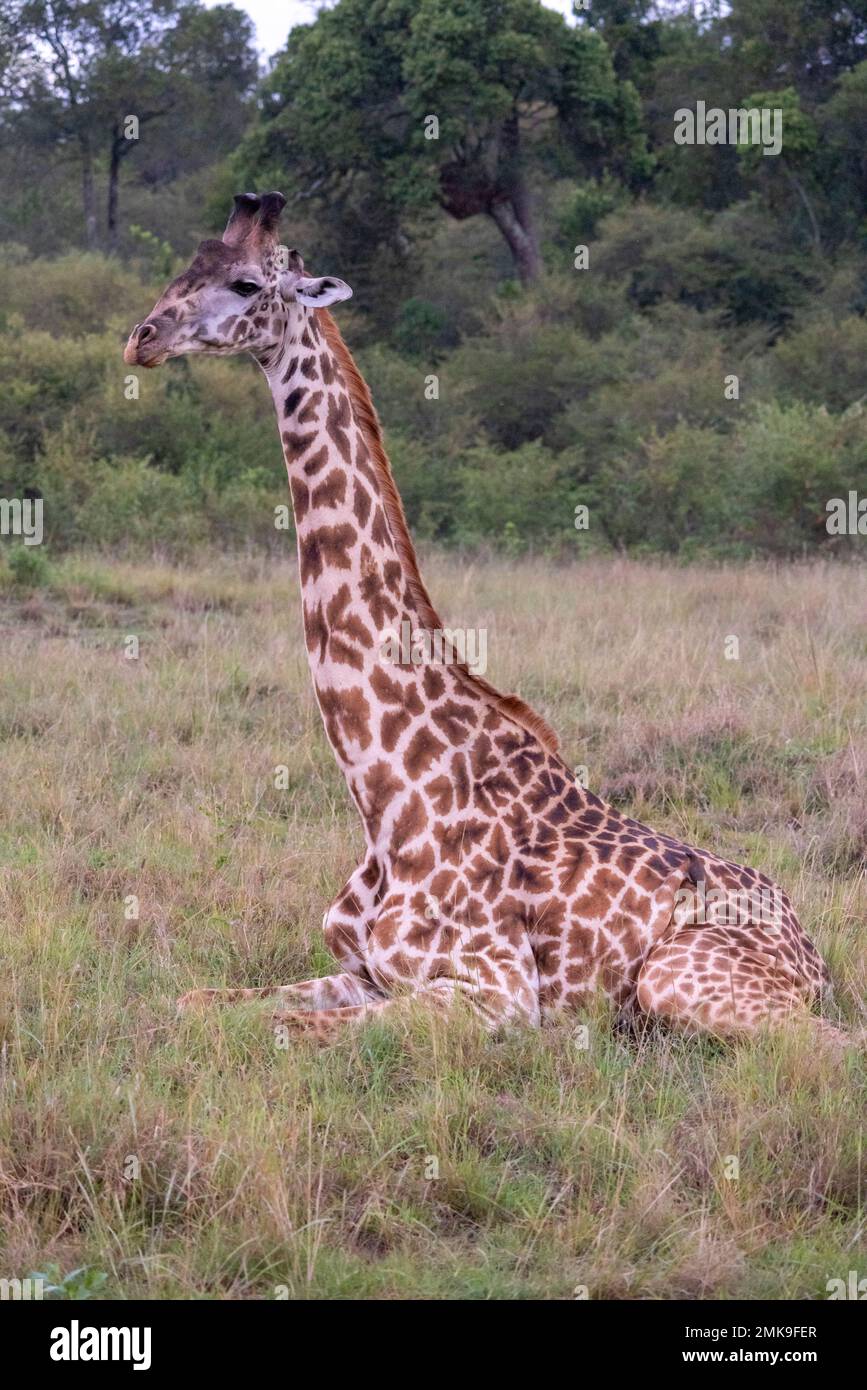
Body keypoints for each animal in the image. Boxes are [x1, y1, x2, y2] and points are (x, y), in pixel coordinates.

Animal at [123, 193, 844, 1045]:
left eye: (242, 283)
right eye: (185, 266)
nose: (142, 338)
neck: (387, 795)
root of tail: (814, 960)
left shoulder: (493, 990)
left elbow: (288, 1031)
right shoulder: (359, 970)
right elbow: (196, 1003)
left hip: (686, 980)